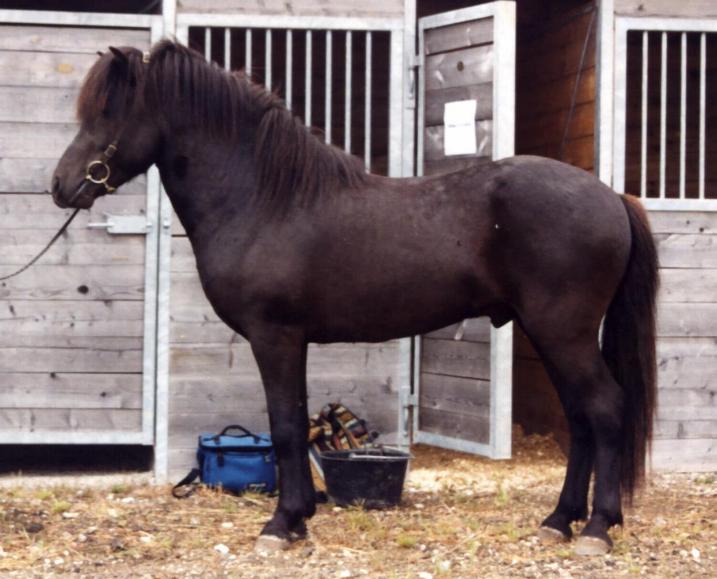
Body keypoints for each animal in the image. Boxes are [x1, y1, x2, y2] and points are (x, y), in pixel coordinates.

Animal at [49, 42, 656, 556]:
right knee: (580, 417)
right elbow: (293, 421)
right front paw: (298, 519)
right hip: (550, 333)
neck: (266, 199)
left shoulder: (275, 337)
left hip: (563, 331)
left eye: (108, 113)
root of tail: (611, 196)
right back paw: (558, 520)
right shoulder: (292, 341)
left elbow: (285, 426)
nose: (60, 185)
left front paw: (281, 525)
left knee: (604, 409)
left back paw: (597, 528)